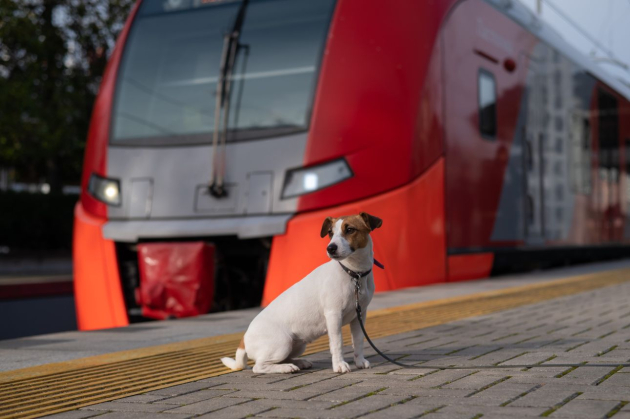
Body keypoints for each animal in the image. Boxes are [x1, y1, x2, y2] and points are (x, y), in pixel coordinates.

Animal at [220, 213, 382, 374]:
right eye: (330, 232)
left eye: (349, 229)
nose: (330, 248)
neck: (353, 273)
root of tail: (244, 339)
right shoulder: (333, 315)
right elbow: (337, 343)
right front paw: (339, 365)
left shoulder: (359, 315)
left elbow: (358, 341)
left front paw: (360, 361)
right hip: (282, 344)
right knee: (259, 367)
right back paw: (286, 368)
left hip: (297, 345)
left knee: (282, 359)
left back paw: (298, 362)